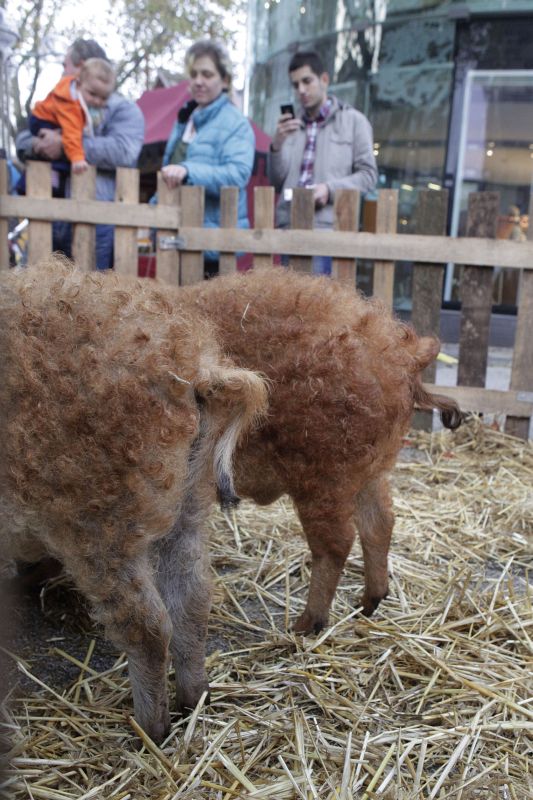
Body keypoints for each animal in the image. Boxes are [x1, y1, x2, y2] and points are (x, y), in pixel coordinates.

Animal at [0, 259, 267, 743]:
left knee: (146, 625)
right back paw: (194, 700)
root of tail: (193, 370)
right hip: (189, 503)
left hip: (100, 520)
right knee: (192, 598)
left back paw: (152, 729)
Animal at [182, 267, 461, 634]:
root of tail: (401, 355)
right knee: (380, 521)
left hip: (322, 470)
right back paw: (367, 606)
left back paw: (303, 626)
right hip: (369, 464)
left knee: (336, 543)